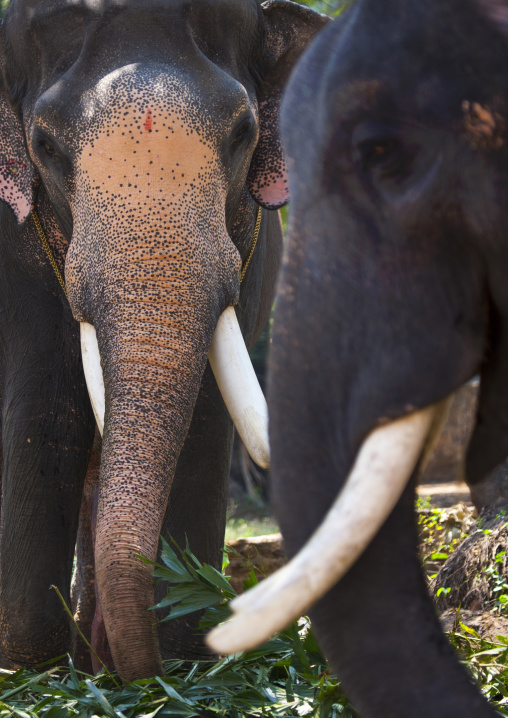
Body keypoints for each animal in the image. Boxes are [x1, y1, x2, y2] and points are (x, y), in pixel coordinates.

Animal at [0, 0, 327, 683]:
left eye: (243, 132)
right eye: (43, 145)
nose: (140, 670)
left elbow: (203, 424)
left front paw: (183, 665)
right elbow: (45, 418)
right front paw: (29, 675)